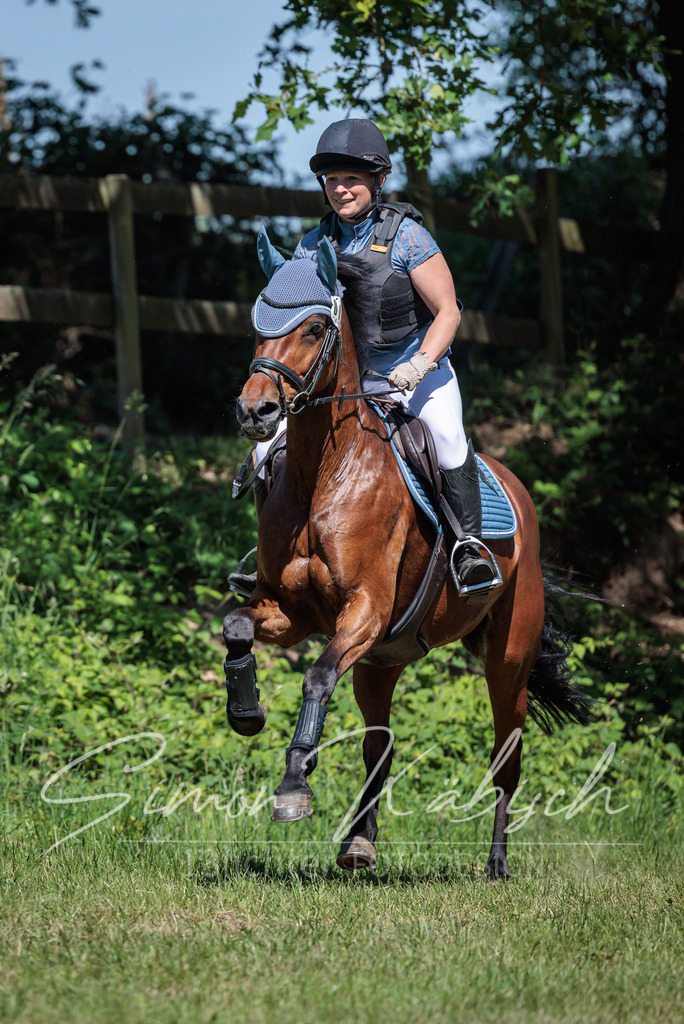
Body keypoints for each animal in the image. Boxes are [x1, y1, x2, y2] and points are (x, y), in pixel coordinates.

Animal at [221, 230, 592, 878]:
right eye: (257, 326)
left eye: (313, 329)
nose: (255, 411)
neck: (325, 472)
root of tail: (516, 490)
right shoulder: (291, 613)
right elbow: (236, 627)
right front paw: (246, 712)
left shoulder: (364, 611)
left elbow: (317, 678)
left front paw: (293, 787)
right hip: (381, 660)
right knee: (380, 747)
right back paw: (358, 843)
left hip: (508, 658)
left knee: (506, 759)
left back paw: (496, 865)